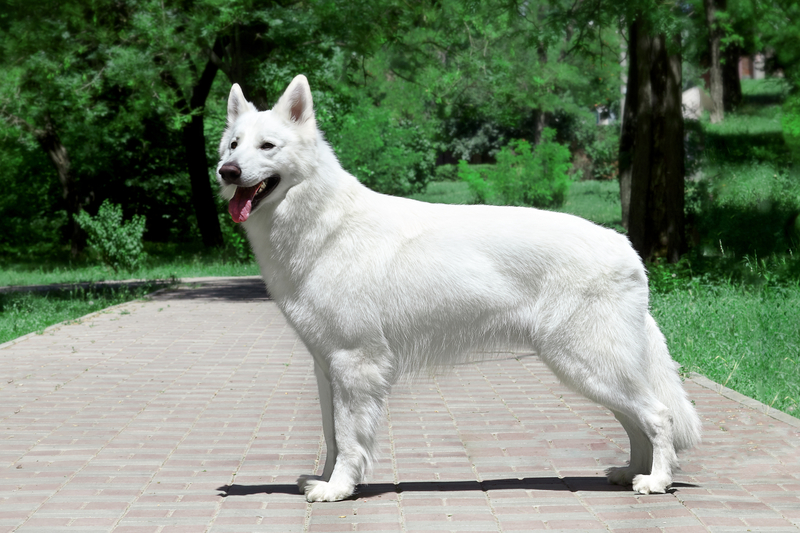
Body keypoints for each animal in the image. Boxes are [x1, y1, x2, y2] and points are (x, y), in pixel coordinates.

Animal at [217, 76, 700, 502]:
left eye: (267, 146)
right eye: (234, 144)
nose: (227, 171)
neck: (323, 223)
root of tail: (627, 248)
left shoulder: (355, 363)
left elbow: (349, 437)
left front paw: (338, 489)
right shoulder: (327, 366)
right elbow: (331, 434)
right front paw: (326, 480)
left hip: (586, 363)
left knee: (658, 415)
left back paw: (656, 480)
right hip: (592, 370)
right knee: (636, 420)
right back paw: (631, 472)